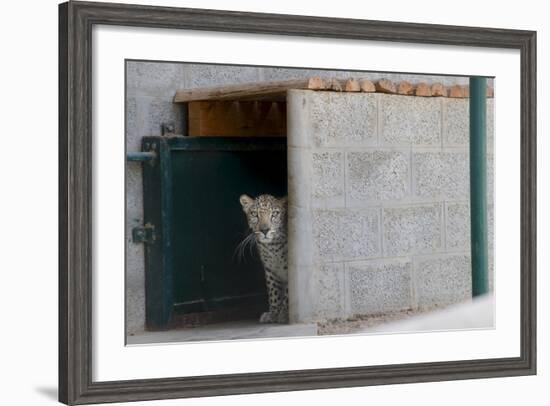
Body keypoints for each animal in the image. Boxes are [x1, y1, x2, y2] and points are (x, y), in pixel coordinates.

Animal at [239, 193, 292, 324]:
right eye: (254, 214)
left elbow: (287, 292)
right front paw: (273, 314)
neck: (273, 246)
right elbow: (274, 292)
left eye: (274, 214)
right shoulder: (270, 269)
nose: (264, 230)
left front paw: (284, 314)